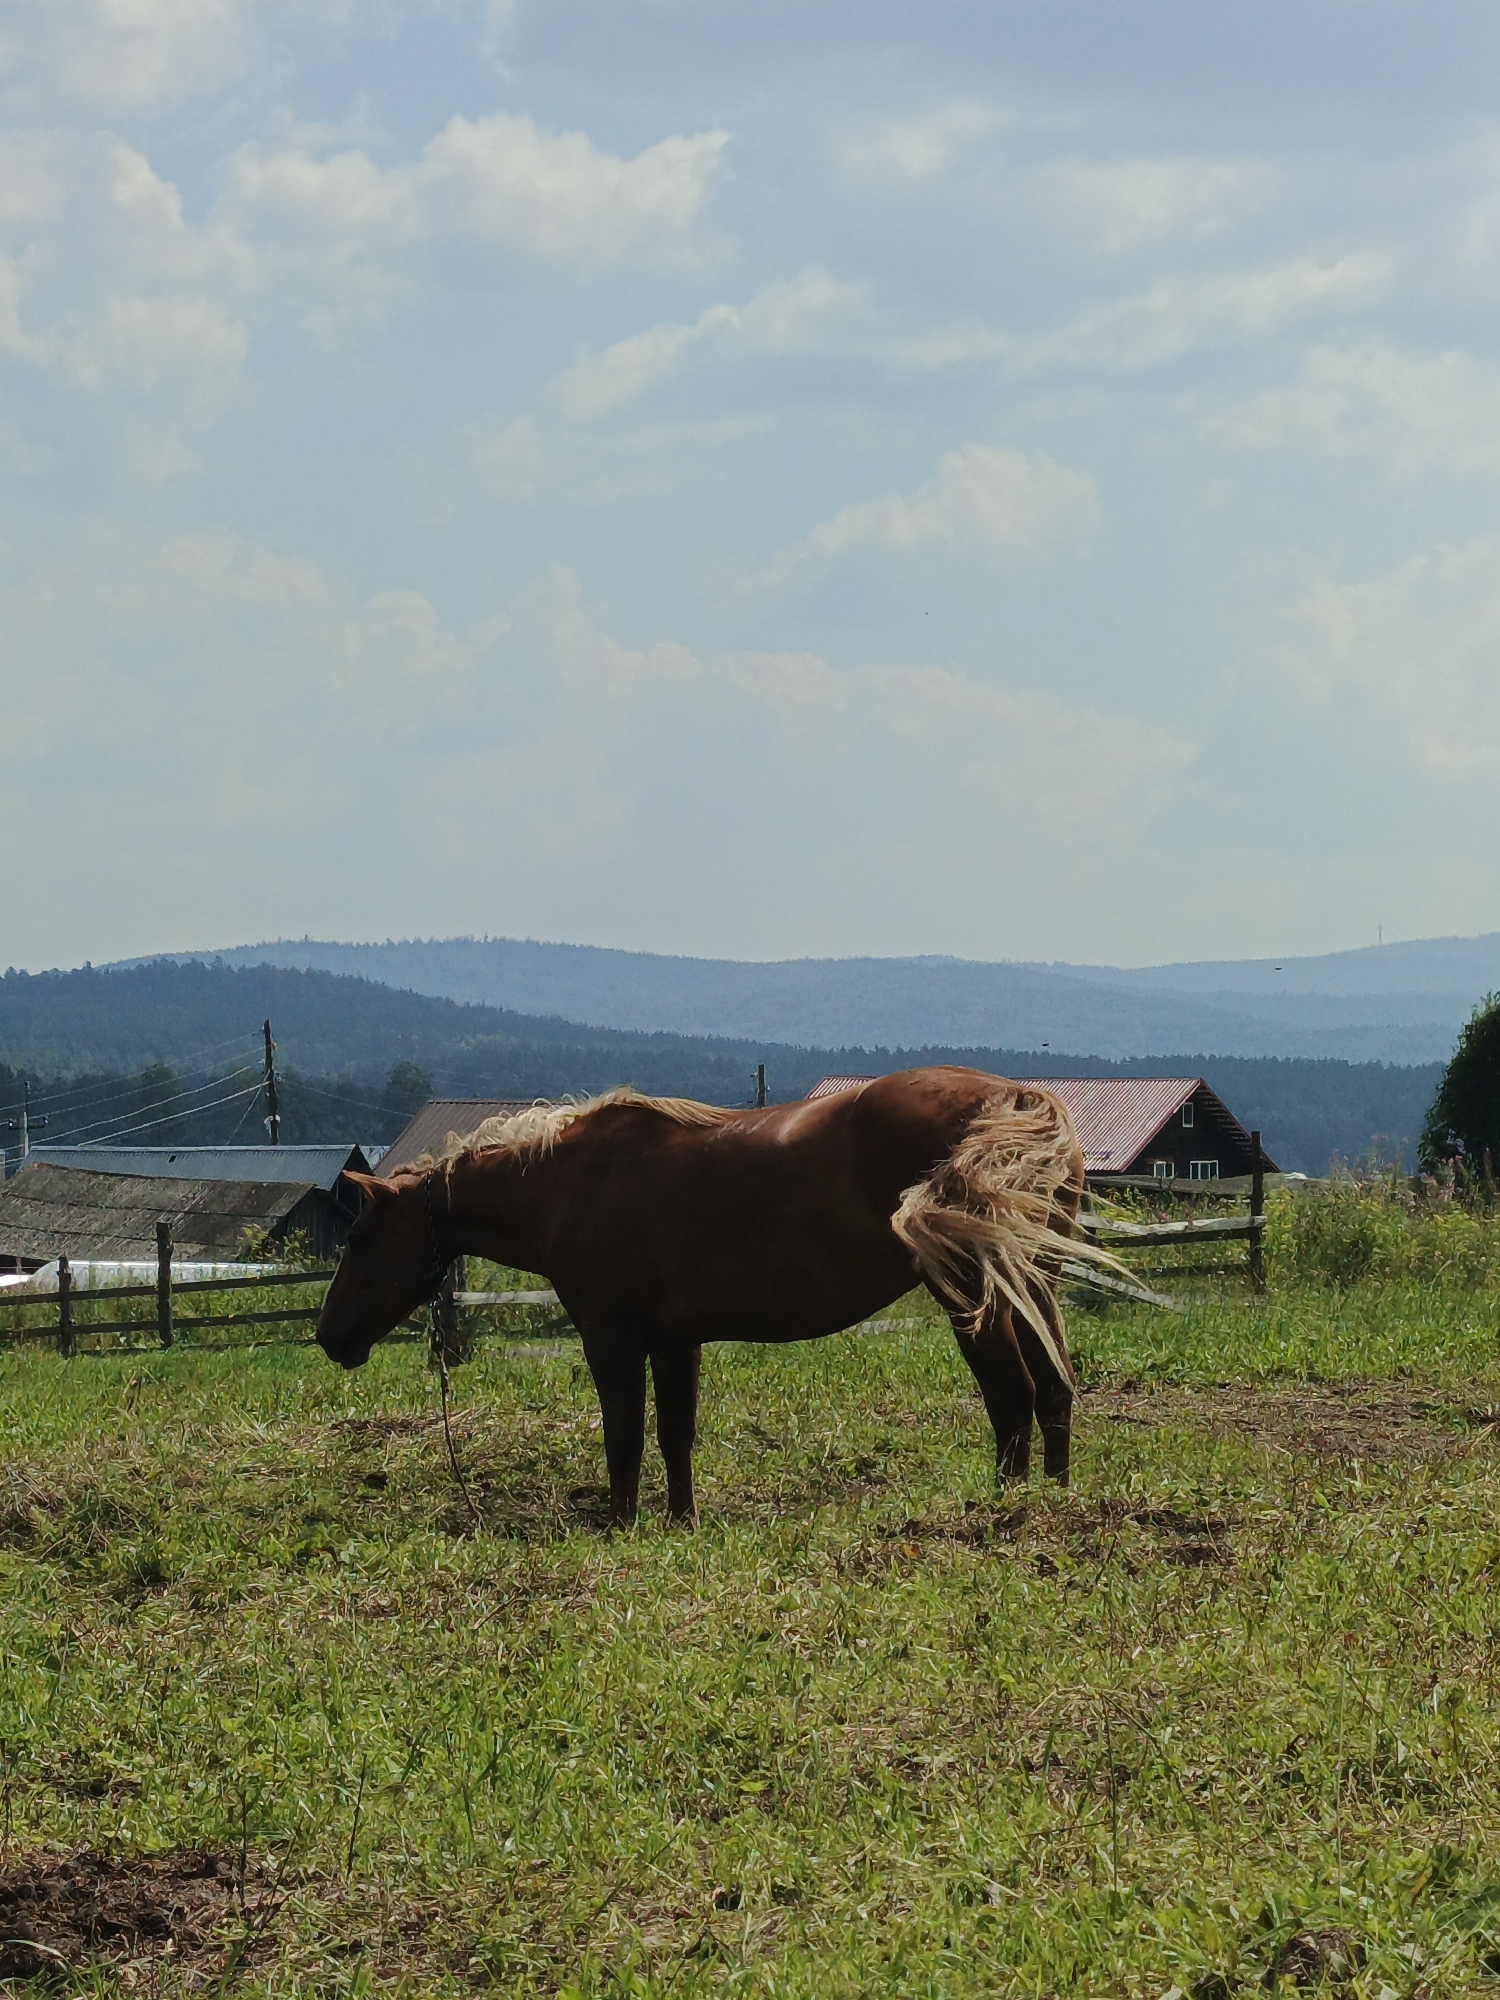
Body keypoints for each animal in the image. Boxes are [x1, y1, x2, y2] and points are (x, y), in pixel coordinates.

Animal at [317, 1065, 1096, 1525]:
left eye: (359, 1236)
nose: (329, 1336)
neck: (567, 1184)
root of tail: (1017, 1098)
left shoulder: (612, 1340)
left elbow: (626, 1435)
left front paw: (622, 1524)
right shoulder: (674, 1341)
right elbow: (675, 1434)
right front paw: (680, 1520)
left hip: (973, 1294)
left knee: (1012, 1395)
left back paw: (1005, 1510)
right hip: (1033, 1282)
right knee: (1055, 1389)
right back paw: (1056, 1501)